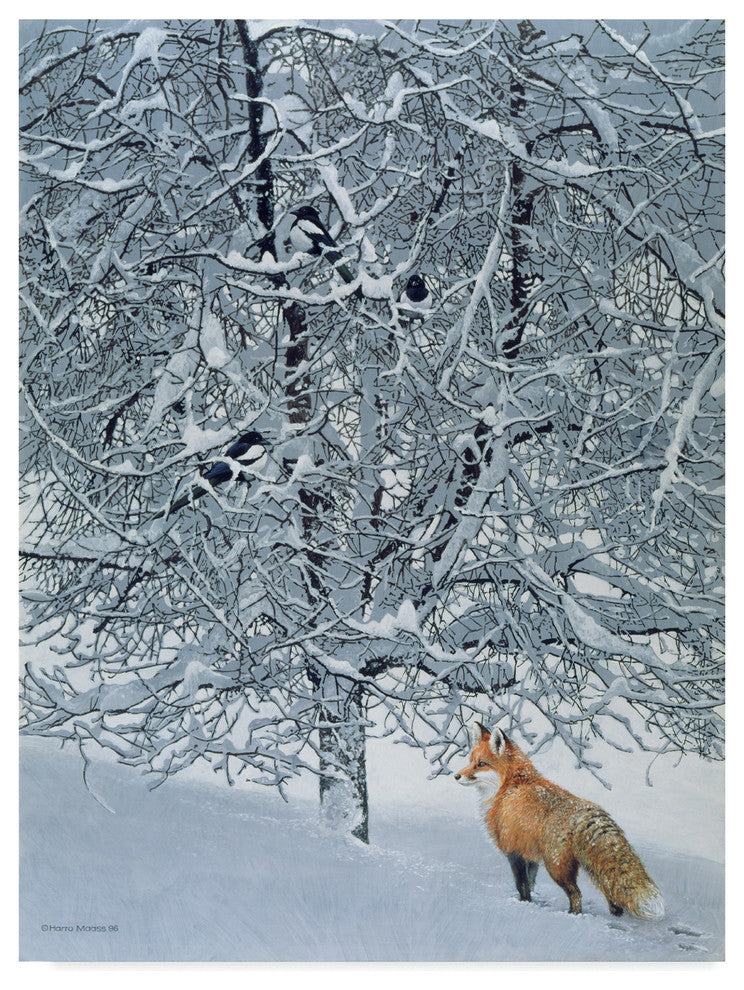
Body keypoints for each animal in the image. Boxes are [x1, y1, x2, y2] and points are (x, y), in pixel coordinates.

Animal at [455, 722, 664, 920]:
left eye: (481, 764)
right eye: (470, 761)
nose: (456, 776)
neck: (509, 787)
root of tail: (582, 810)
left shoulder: (514, 850)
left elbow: (522, 885)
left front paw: (523, 905)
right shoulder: (530, 854)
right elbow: (530, 883)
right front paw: (531, 904)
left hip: (557, 867)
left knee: (576, 894)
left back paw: (572, 916)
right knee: (609, 890)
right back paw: (616, 915)